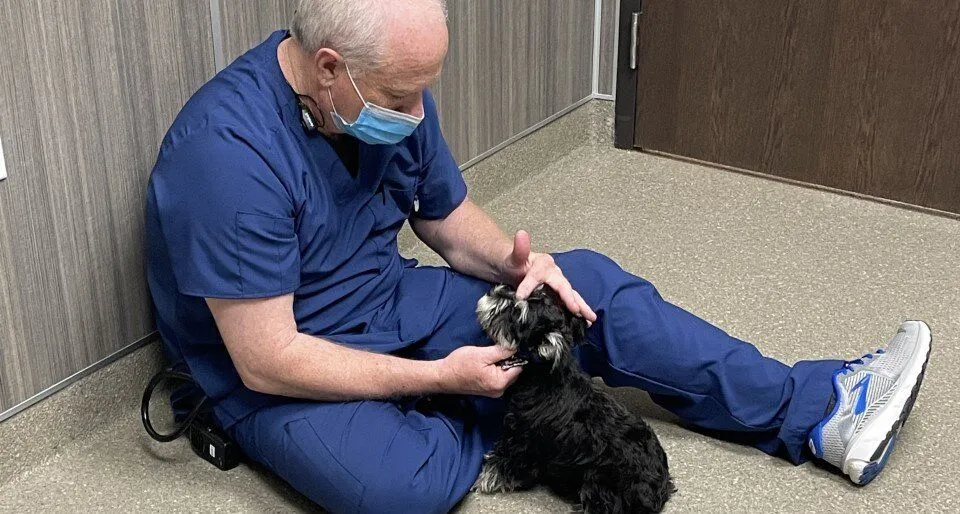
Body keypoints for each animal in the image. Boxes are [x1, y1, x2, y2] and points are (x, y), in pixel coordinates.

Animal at [474, 282, 676, 510]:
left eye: (517, 313)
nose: (493, 290)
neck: (542, 374)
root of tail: (659, 490)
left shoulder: (524, 441)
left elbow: (505, 463)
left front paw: (487, 478)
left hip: (599, 488)